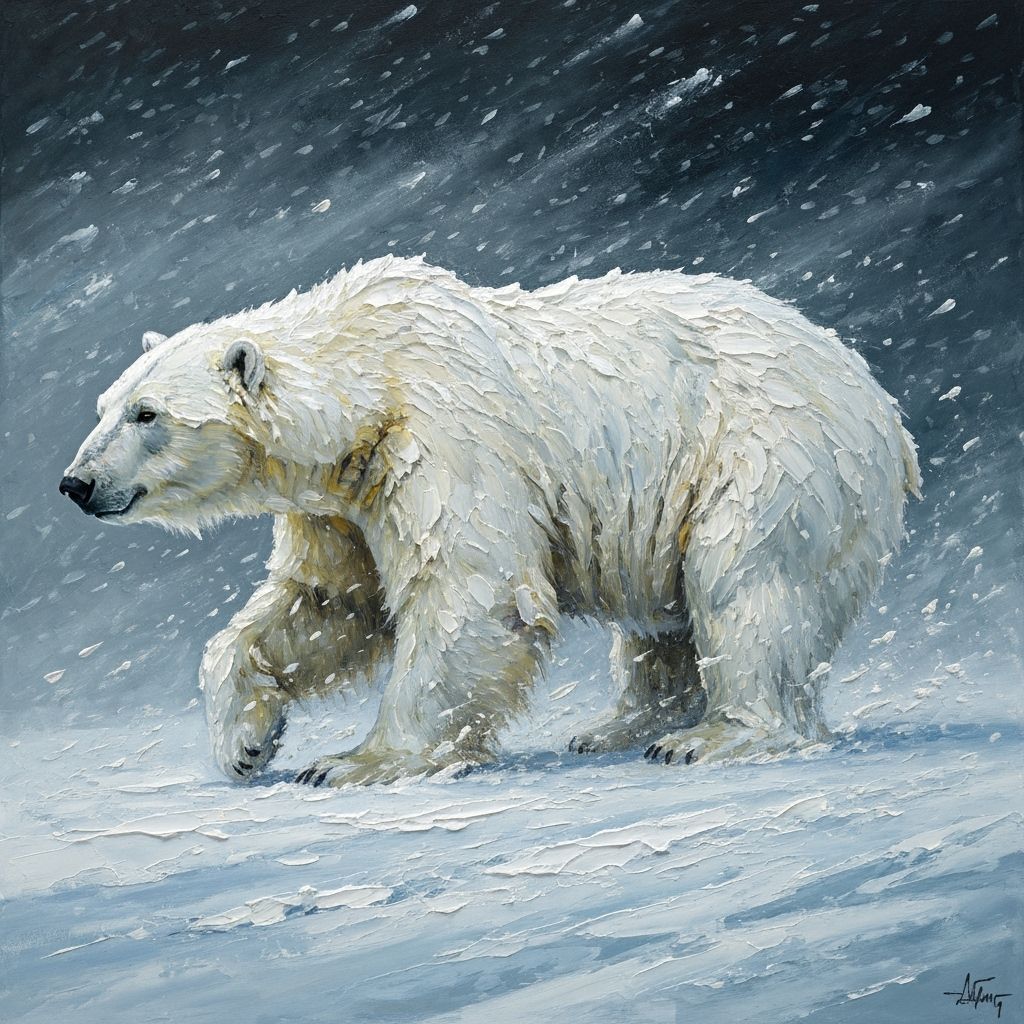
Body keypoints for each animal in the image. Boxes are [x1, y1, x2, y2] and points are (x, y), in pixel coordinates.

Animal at [61, 255, 921, 785]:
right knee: (664, 615)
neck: (368, 382)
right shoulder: (341, 504)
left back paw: (713, 736)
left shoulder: (445, 442)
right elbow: (329, 606)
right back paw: (616, 726)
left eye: (147, 414)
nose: (76, 483)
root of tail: (880, 399)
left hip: (769, 456)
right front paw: (245, 741)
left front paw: (355, 761)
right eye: (104, 405)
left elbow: (470, 594)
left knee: (746, 583)